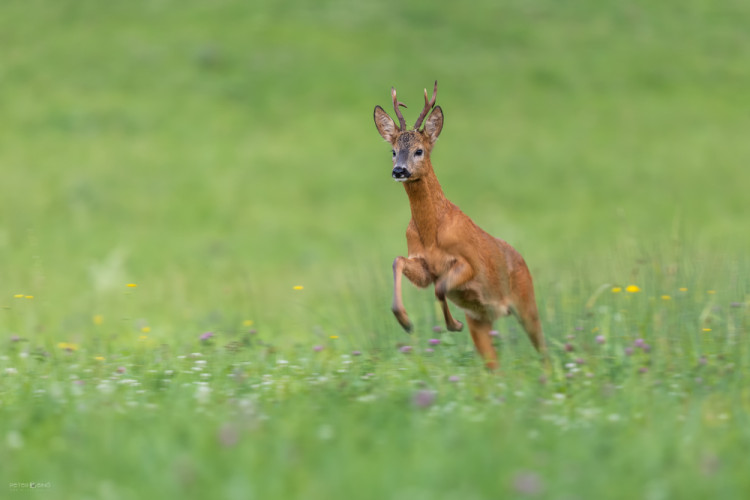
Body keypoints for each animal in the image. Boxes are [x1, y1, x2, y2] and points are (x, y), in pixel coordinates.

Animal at [374, 83, 548, 372]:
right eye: (393, 151)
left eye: (419, 150)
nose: (399, 170)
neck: (431, 232)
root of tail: (522, 260)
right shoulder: (423, 265)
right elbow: (398, 261)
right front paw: (406, 321)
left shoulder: (469, 262)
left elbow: (440, 287)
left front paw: (452, 324)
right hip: (480, 321)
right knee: (494, 365)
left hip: (527, 301)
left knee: (544, 350)